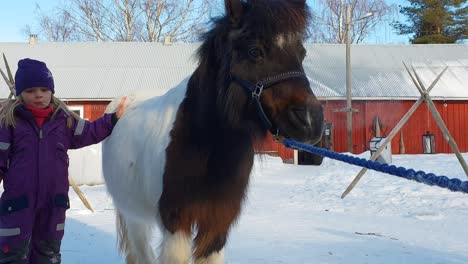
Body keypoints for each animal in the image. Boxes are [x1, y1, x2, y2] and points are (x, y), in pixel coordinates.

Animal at [101, 0, 322, 262]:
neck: (206, 145)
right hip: (132, 215)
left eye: (302, 53)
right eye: (255, 51)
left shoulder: (217, 224)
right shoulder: (176, 222)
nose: (311, 120)